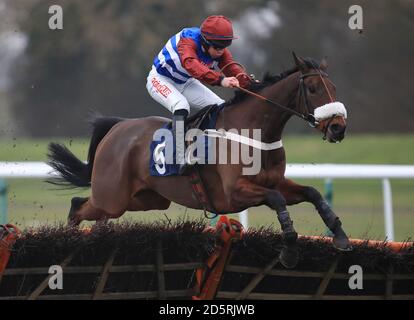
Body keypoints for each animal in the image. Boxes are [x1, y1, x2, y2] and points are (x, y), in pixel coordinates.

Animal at [48, 53, 352, 268]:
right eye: (312, 88)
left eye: (334, 87)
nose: (338, 128)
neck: (254, 132)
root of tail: (117, 127)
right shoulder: (234, 193)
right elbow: (277, 199)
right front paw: (289, 249)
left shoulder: (274, 181)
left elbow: (312, 193)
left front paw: (340, 236)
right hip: (112, 196)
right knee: (77, 207)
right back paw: (66, 243)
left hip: (145, 199)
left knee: (90, 210)